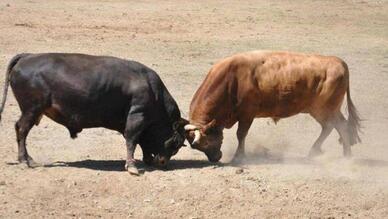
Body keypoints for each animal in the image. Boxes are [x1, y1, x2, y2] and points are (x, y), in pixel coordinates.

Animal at [0, 53, 188, 175]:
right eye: (175, 143)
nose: (163, 162)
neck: (153, 90)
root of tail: (28, 57)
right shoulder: (137, 116)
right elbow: (132, 141)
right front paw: (132, 166)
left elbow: (140, 142)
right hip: (31, 110)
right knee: (22, 130)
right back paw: (24, 160)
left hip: (32, 111)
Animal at [184, 50, 360, 162]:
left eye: (206, 142)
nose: (216, 158)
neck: (230, 79)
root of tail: (339, 62)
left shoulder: (247, 114)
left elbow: (241, 134)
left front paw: (239, 157)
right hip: (328, 110)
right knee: (338, 125)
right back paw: (344, 154)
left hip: (323, 109)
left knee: (334, 126)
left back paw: (324, 153)